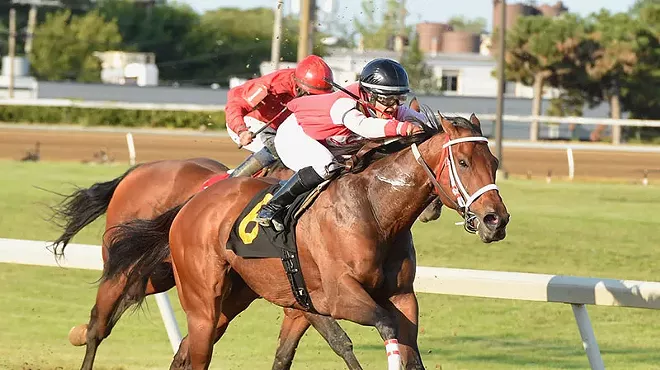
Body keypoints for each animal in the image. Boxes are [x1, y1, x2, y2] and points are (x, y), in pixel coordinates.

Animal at [100, 110, 510, 370]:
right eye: (463, 162)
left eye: (493, 162)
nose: (496, 220)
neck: (375, 211)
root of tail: (192, 203)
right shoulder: (338, 297)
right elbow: (379, 330)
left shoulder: (400, 296)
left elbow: (409, 351)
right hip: (198, 298)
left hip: (232, 297)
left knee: (185, 352)